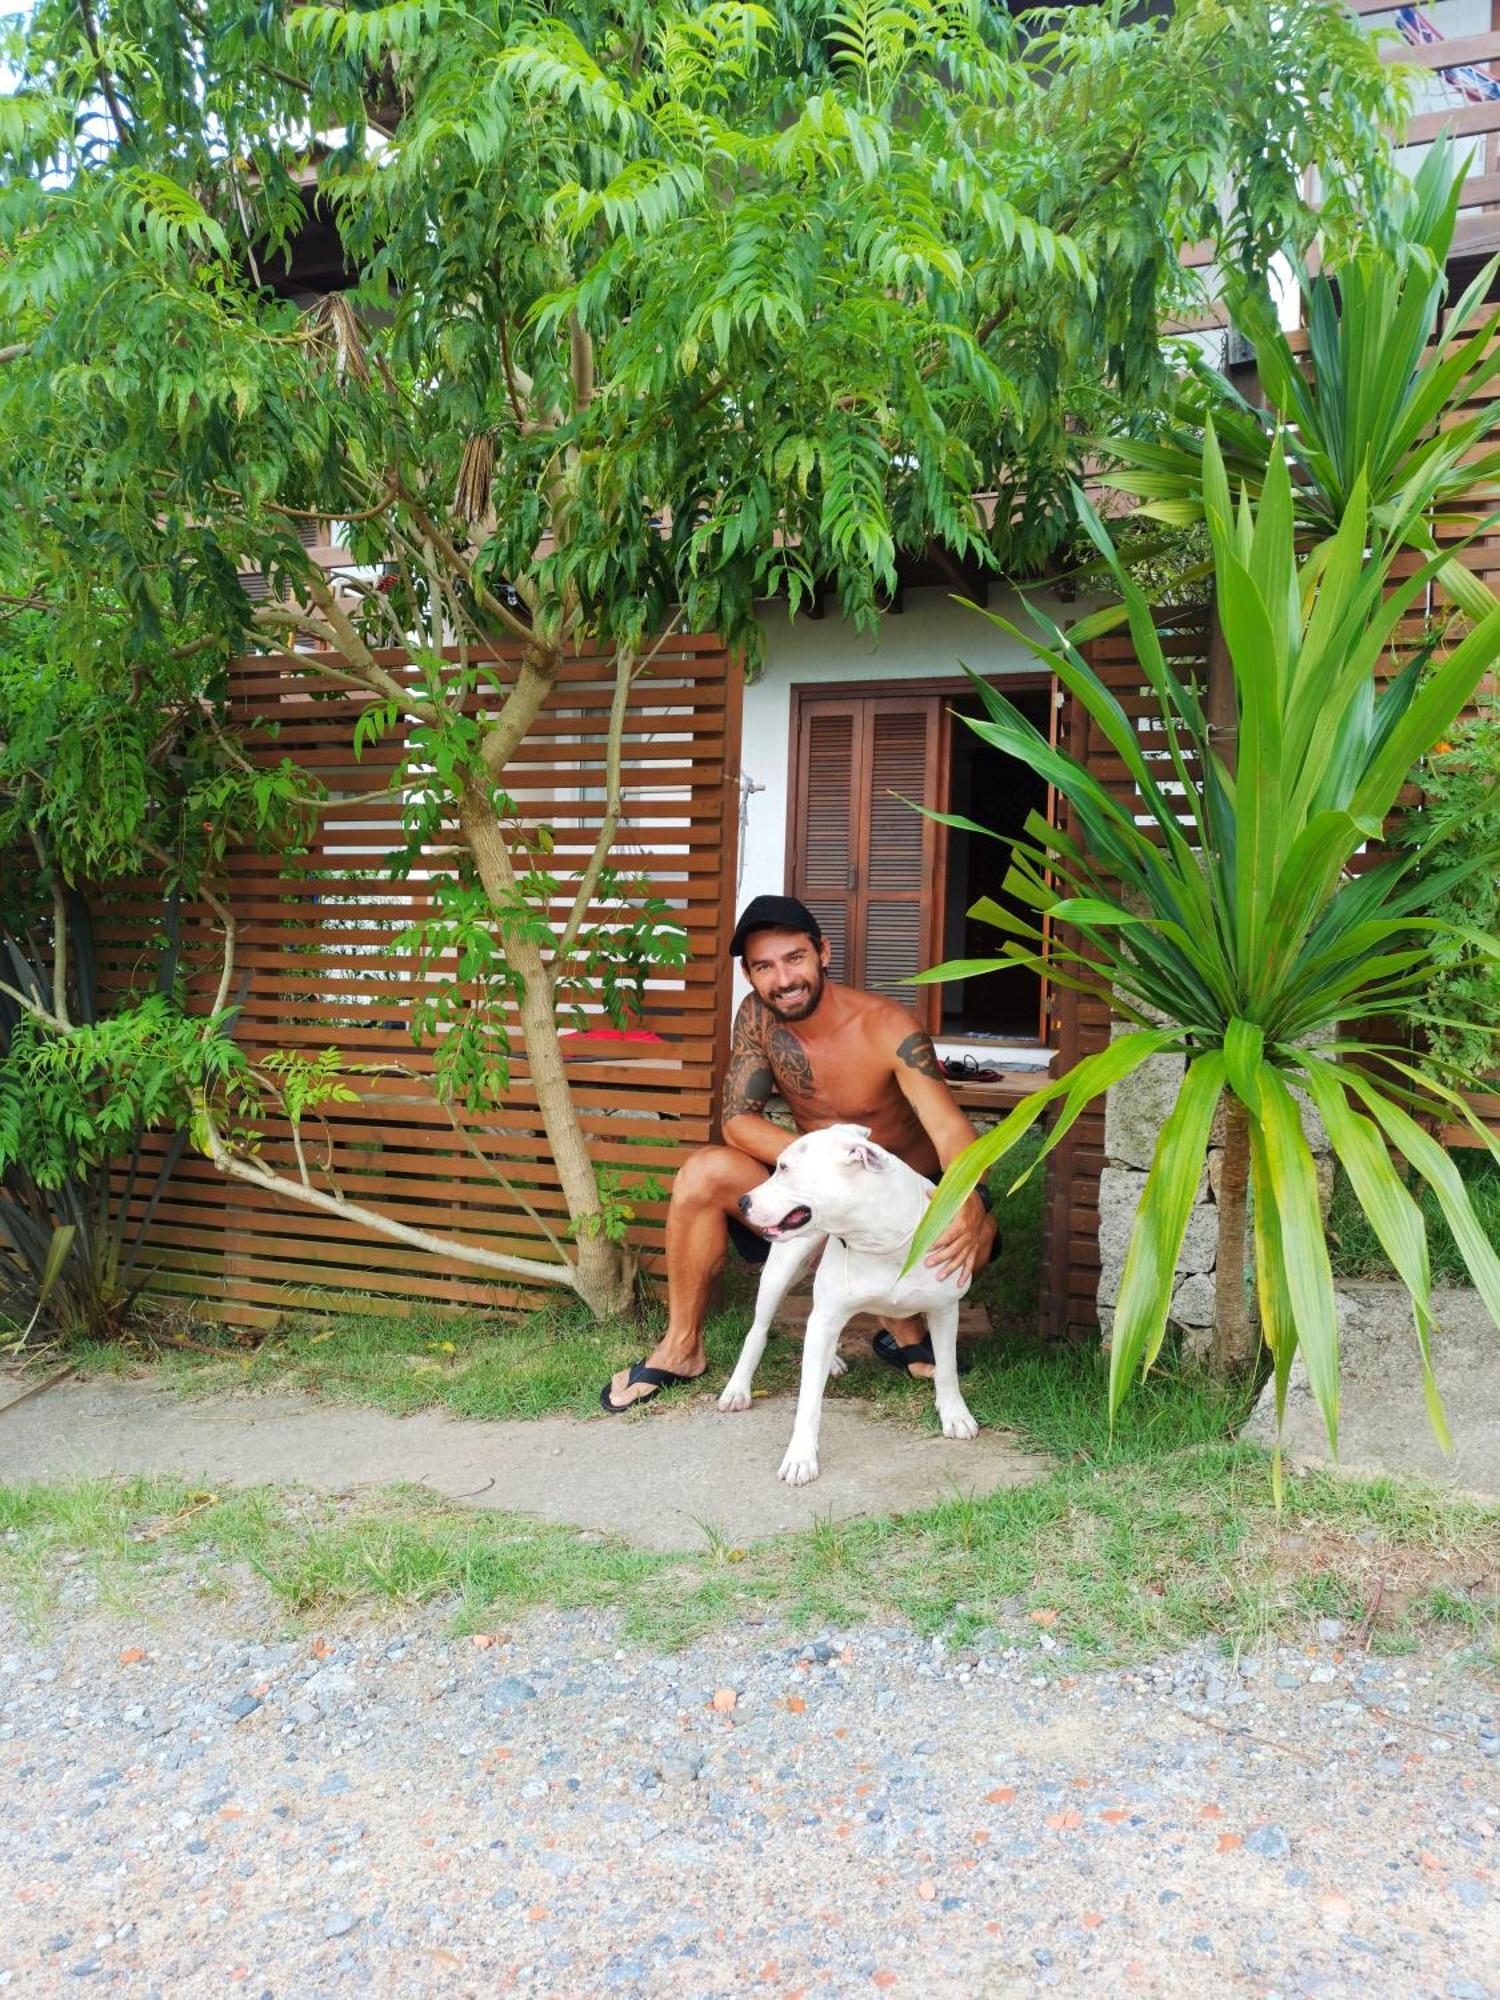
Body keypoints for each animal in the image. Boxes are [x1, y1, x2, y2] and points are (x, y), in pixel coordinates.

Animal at [720, 1128, 980, 1488]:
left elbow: (947, 1369)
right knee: (758, 1331)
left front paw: (955, 1414)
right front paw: (801, 1458)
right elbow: (808, 1402)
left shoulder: (944, 1309)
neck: (879, 1239)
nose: (743, 1201)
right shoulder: (827, 1315)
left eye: (784, 1168)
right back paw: (738, 1388)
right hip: (781, 1272)